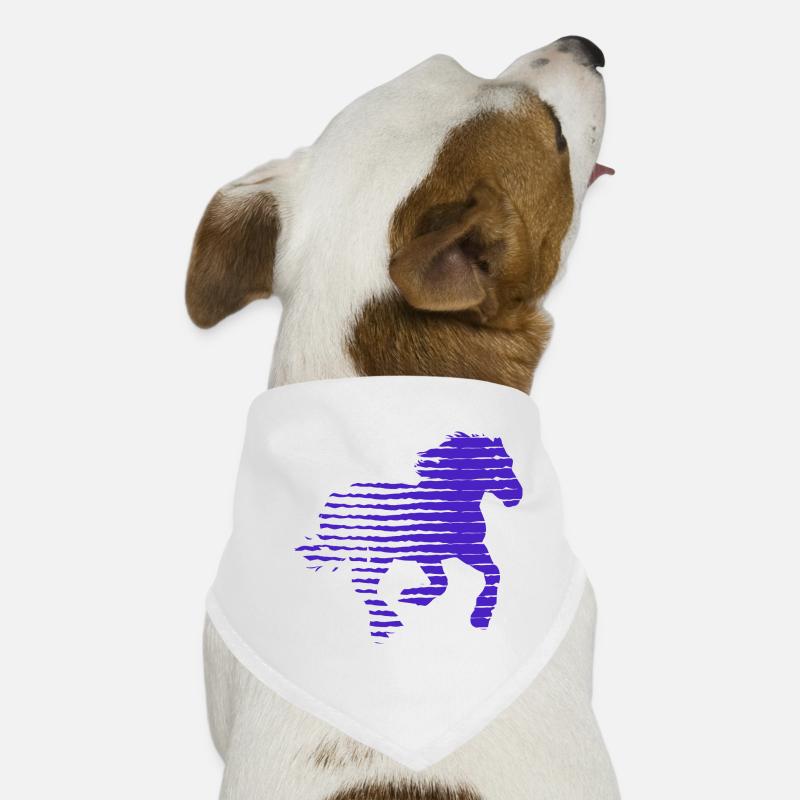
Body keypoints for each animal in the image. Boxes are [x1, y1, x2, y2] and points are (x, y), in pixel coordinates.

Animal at [296, 432, 523, 640]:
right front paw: (412, 596)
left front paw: (480, 618)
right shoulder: (428, 555)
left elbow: (492, 573)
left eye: (510, 462)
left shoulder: (470, 548)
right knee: (364, 585)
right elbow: (443, 583)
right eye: (491, 466)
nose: (517, 495)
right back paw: (388, 624)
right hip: (374, 555)